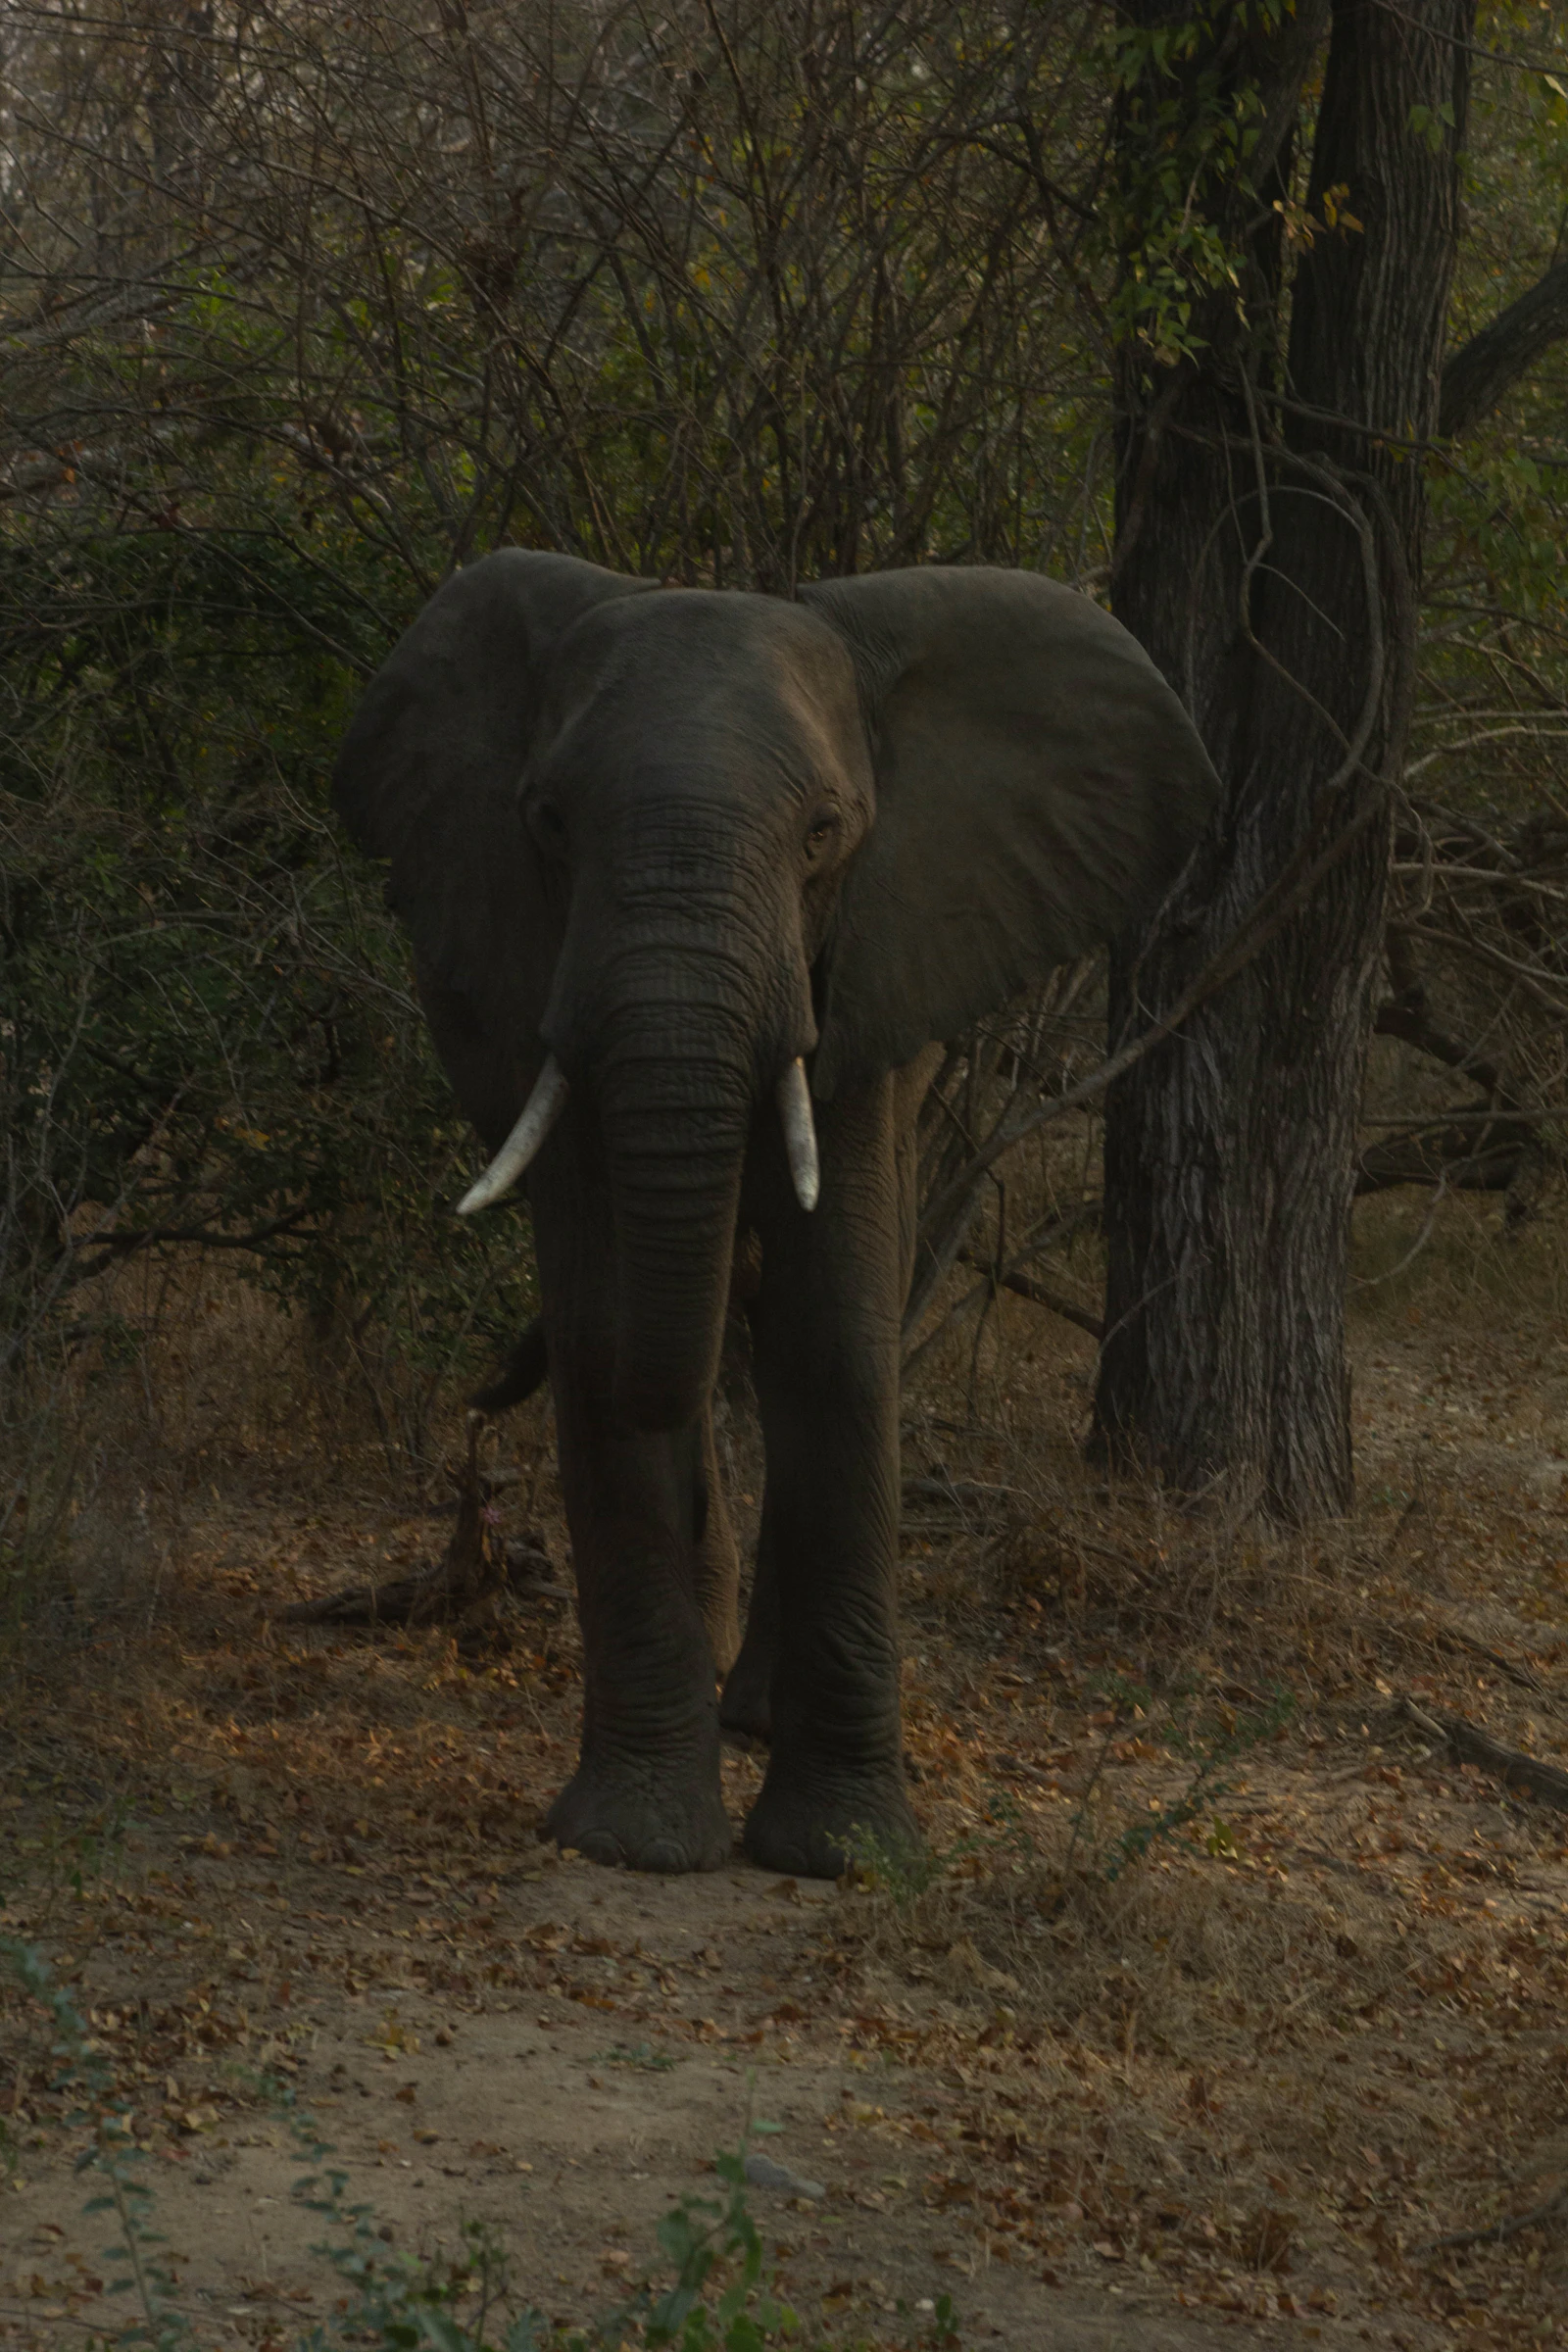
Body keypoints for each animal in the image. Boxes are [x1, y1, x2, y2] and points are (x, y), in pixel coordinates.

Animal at [333, 552, 1217, 1878]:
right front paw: (640, 1842)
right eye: (549, 823)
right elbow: (610, 1337)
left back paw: (745, 1710)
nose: (478, 1419)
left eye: (823, 834)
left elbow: (833, 1350)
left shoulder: (865, 974)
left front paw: (844, 1853)